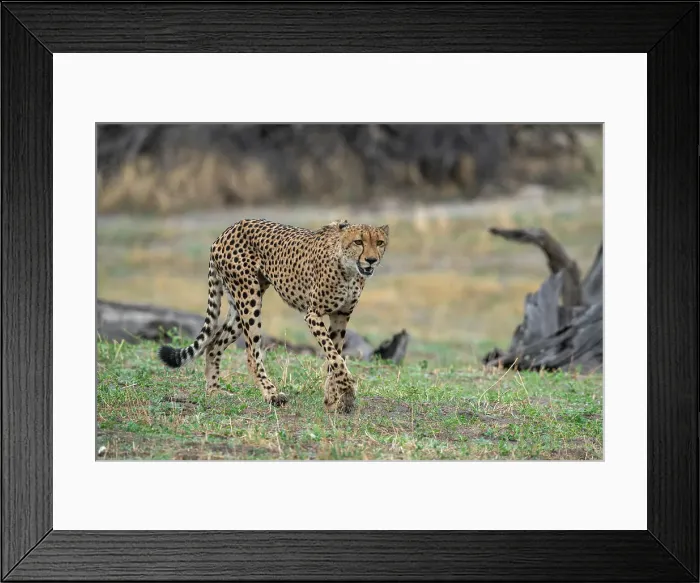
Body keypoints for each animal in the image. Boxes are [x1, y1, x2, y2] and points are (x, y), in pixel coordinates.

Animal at [157, 218, 389, 414]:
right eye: (358, 241)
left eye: (379, 242)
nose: (371, 260)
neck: (348, 269)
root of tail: (227, 230)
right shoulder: (313, 314)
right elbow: (335, 357)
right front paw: (347, 390)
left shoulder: (340, 316)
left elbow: (334, 357)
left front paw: (333, 399)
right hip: (249, 298)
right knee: (251, 354)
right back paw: (271, 393)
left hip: (240, 306)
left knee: (214, 344)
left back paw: (214, 391)